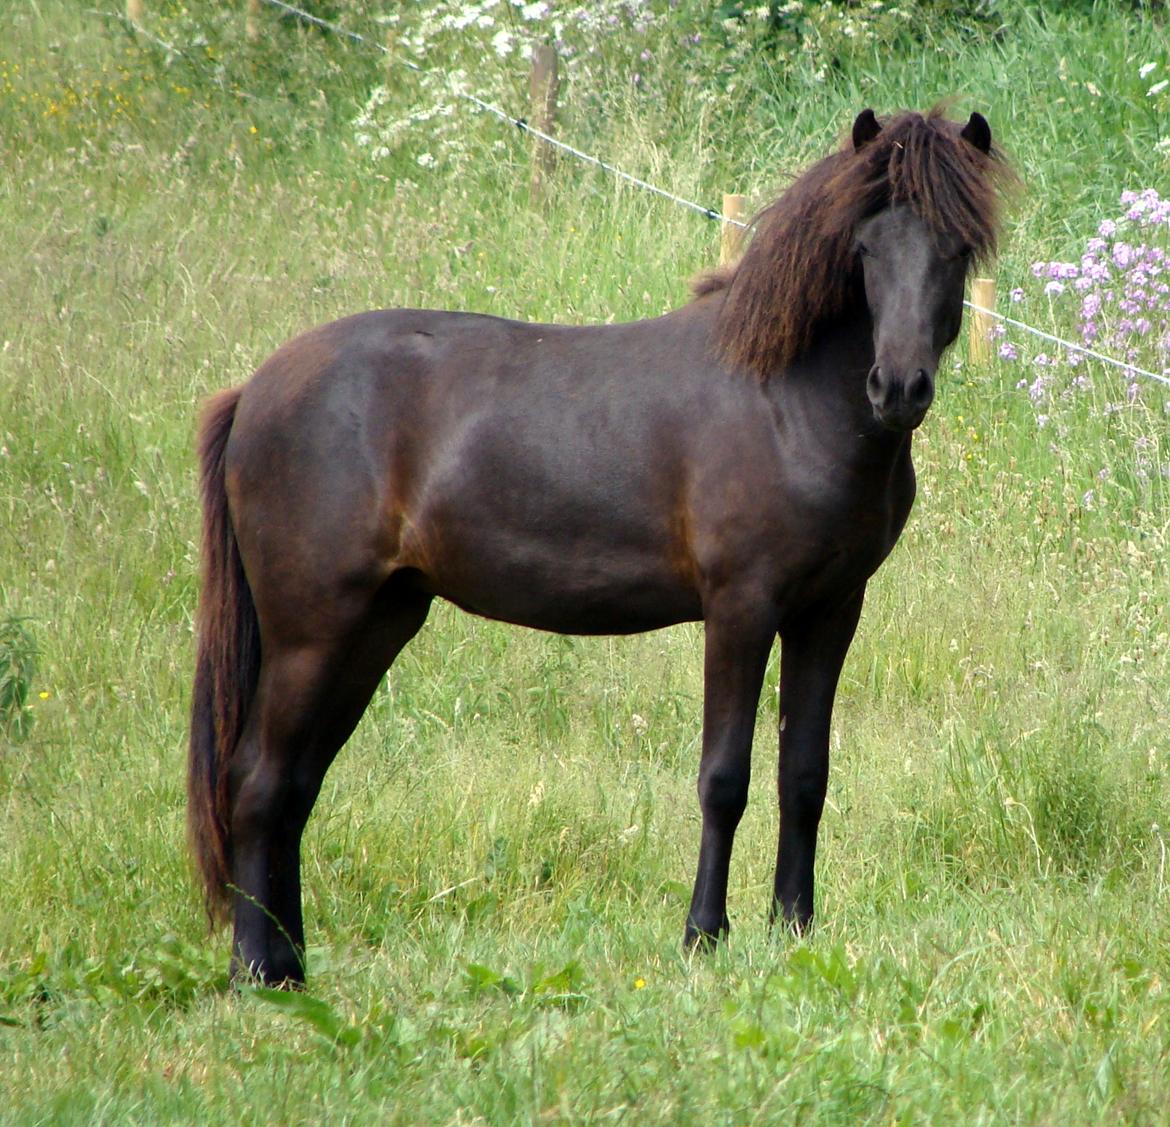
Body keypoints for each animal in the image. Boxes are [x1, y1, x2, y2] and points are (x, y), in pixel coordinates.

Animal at [187, 108, 1010, 987]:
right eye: (865, 247)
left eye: (958, 247)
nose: (899, 389)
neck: (783, 399)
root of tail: (254, 390)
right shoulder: (741, 608)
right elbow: (725, 776)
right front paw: (703, 933)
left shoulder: (829, 612)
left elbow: (805, 773)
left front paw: (794, 927)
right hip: (312, 631)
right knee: (259, 781)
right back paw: (257, 969)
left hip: (377, 623)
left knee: (298, 783)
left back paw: (291, 961)